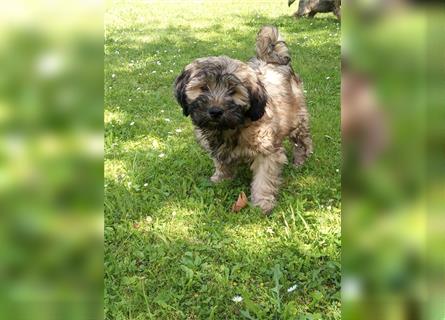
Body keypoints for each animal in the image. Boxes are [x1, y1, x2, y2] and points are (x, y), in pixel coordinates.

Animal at [173, 26, 312, 214]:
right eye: (203, 88)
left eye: (233, 91)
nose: (215, 111)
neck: (232, 127)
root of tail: (272, 60)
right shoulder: (218, 146)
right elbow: (221, 162)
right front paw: (220, 179)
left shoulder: (267, 151)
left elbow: (264, 178)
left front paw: (262, 203)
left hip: (297, 118)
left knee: (302, 141)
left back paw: (300, 161)